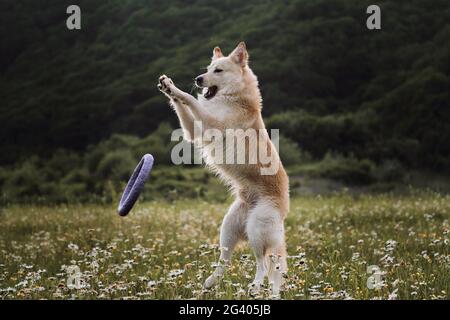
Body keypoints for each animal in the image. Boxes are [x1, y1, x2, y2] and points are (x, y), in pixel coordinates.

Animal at [158, 42, 290, 298]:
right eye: (207, 69)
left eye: (218, 71)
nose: (198, 79)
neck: (234, 96)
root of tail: (283, 214)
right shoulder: (194, 131)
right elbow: (184, 107)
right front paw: (167, 87)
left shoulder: (211, 122)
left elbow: (191, 99)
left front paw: (176, 89)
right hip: (228, 228)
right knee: (226, 260)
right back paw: (210, 282)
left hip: (256, 229)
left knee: (262, 263)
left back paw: (255, 286)